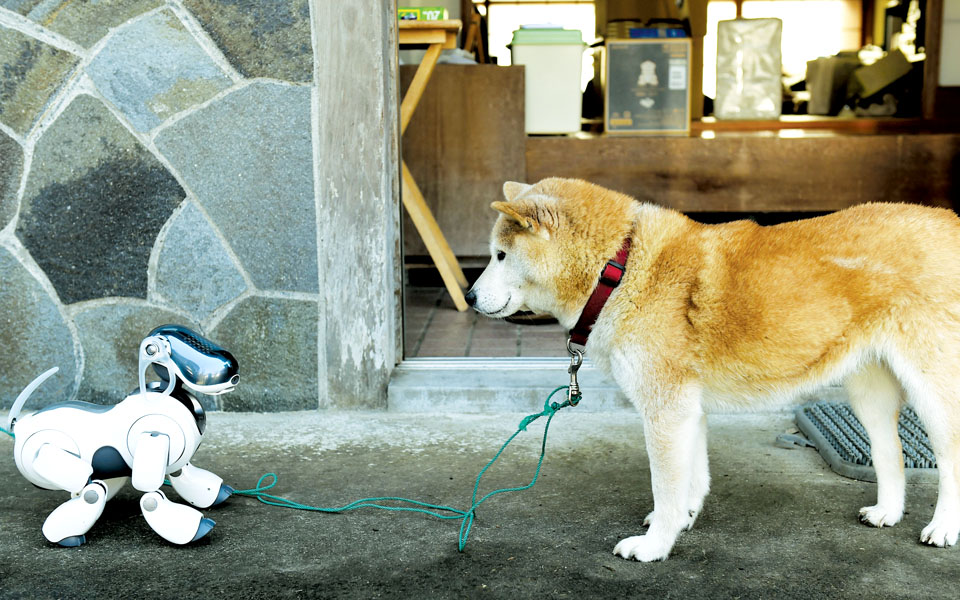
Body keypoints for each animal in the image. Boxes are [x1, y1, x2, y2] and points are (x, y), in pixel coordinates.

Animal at [6, 326, 239, 548]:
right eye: (186, 343)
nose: (231, 369)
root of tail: (20, 427)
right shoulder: (153, 436)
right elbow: (150, 495)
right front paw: (196, 528)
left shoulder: (175, 461)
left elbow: (180, 472)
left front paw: (217, 492)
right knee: (91, 491)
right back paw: (66, 535)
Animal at [464, 177, 960, 564]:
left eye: (501, 256)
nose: (467, 296)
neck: (619, 268)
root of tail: (951, 222)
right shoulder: (688, 411)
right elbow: (690, 478)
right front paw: (682, 520)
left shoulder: (666, 412)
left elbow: (666, 486)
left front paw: (654, 546)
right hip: (868, 393)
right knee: (891, 452)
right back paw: (887, 512)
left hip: (934, 394)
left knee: (949, 458)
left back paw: (943, 528)